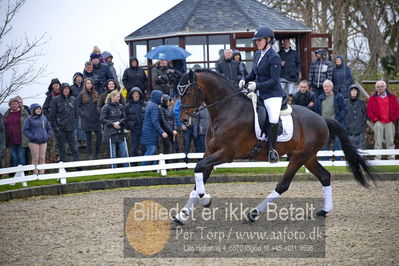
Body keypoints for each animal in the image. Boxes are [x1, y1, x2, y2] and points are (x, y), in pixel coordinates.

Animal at [174, 68, 376, 224]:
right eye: (179, 93)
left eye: (188, 92)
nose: (183, 120)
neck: (227, 109)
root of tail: (322, 120)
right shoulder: (210, 152)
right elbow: (199, 176)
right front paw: (182, 215)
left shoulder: (226, 154)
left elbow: (198, 168)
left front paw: (206, 200)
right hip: (308, 157)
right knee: (325, 176)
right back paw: (324, 211)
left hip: (299, 157)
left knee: (283, 185)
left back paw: (254, 213)